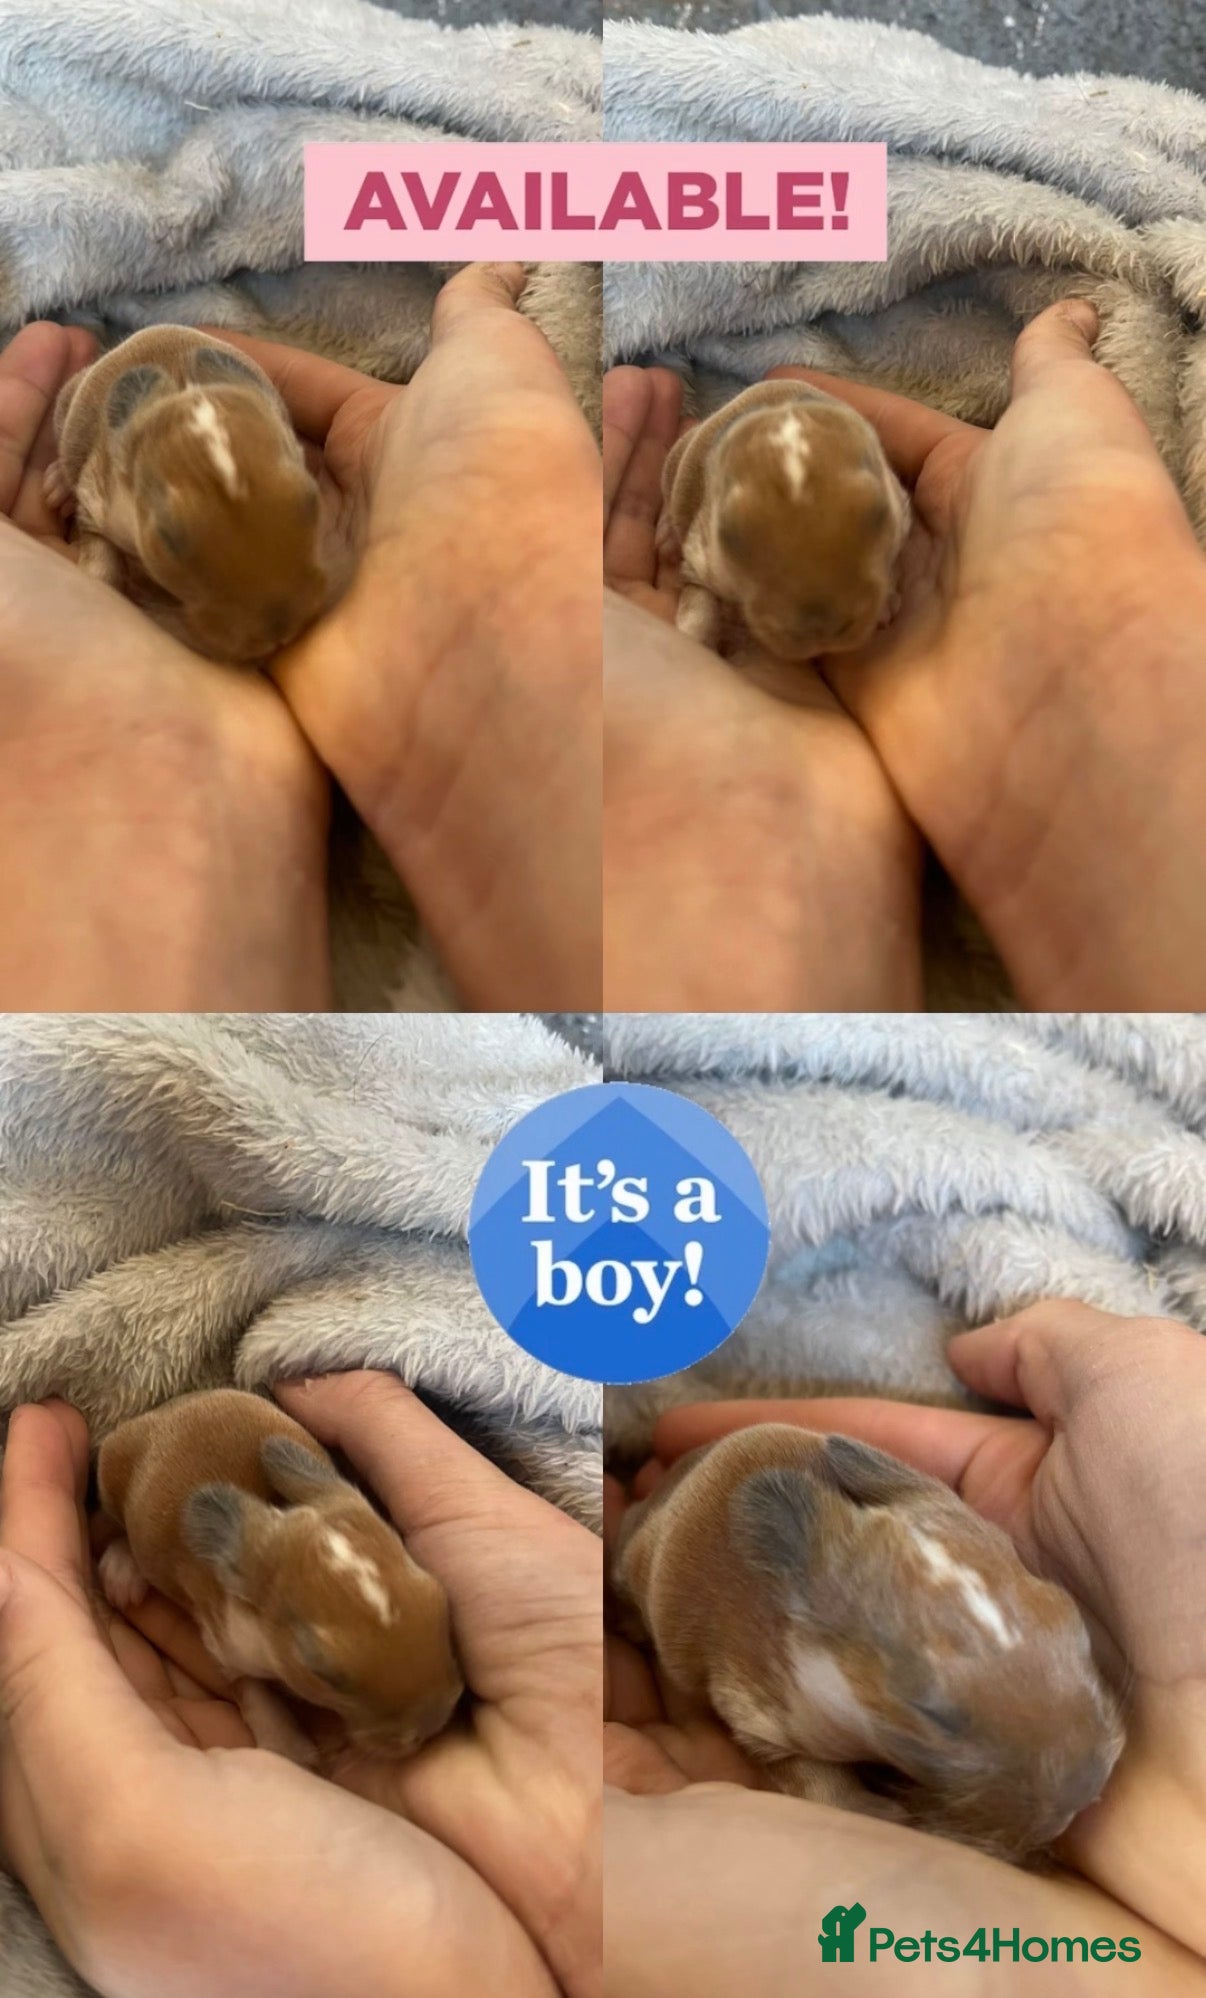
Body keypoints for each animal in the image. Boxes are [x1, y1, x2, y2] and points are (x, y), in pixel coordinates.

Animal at [97, 1388, 463, 1764]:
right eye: (318, 1669)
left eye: (438, 1598)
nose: (433, 1722)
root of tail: (165, 1410)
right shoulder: (225, 1645)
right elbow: (251, 1689)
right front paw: (291, 1749)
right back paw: (122, 1573)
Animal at [611, 1424, 1123, 1862]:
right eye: (932, 1715)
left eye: (1075, 1626)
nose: (1086, 1790)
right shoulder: (759, 1710)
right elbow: (810, 1773)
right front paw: (884, 1812)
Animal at [659, 379, 910, 661]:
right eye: (731, 538)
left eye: (878, 514)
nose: (821, 630)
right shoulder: (701, 555)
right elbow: (698, 598)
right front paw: (694, 641)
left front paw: (886, 603)